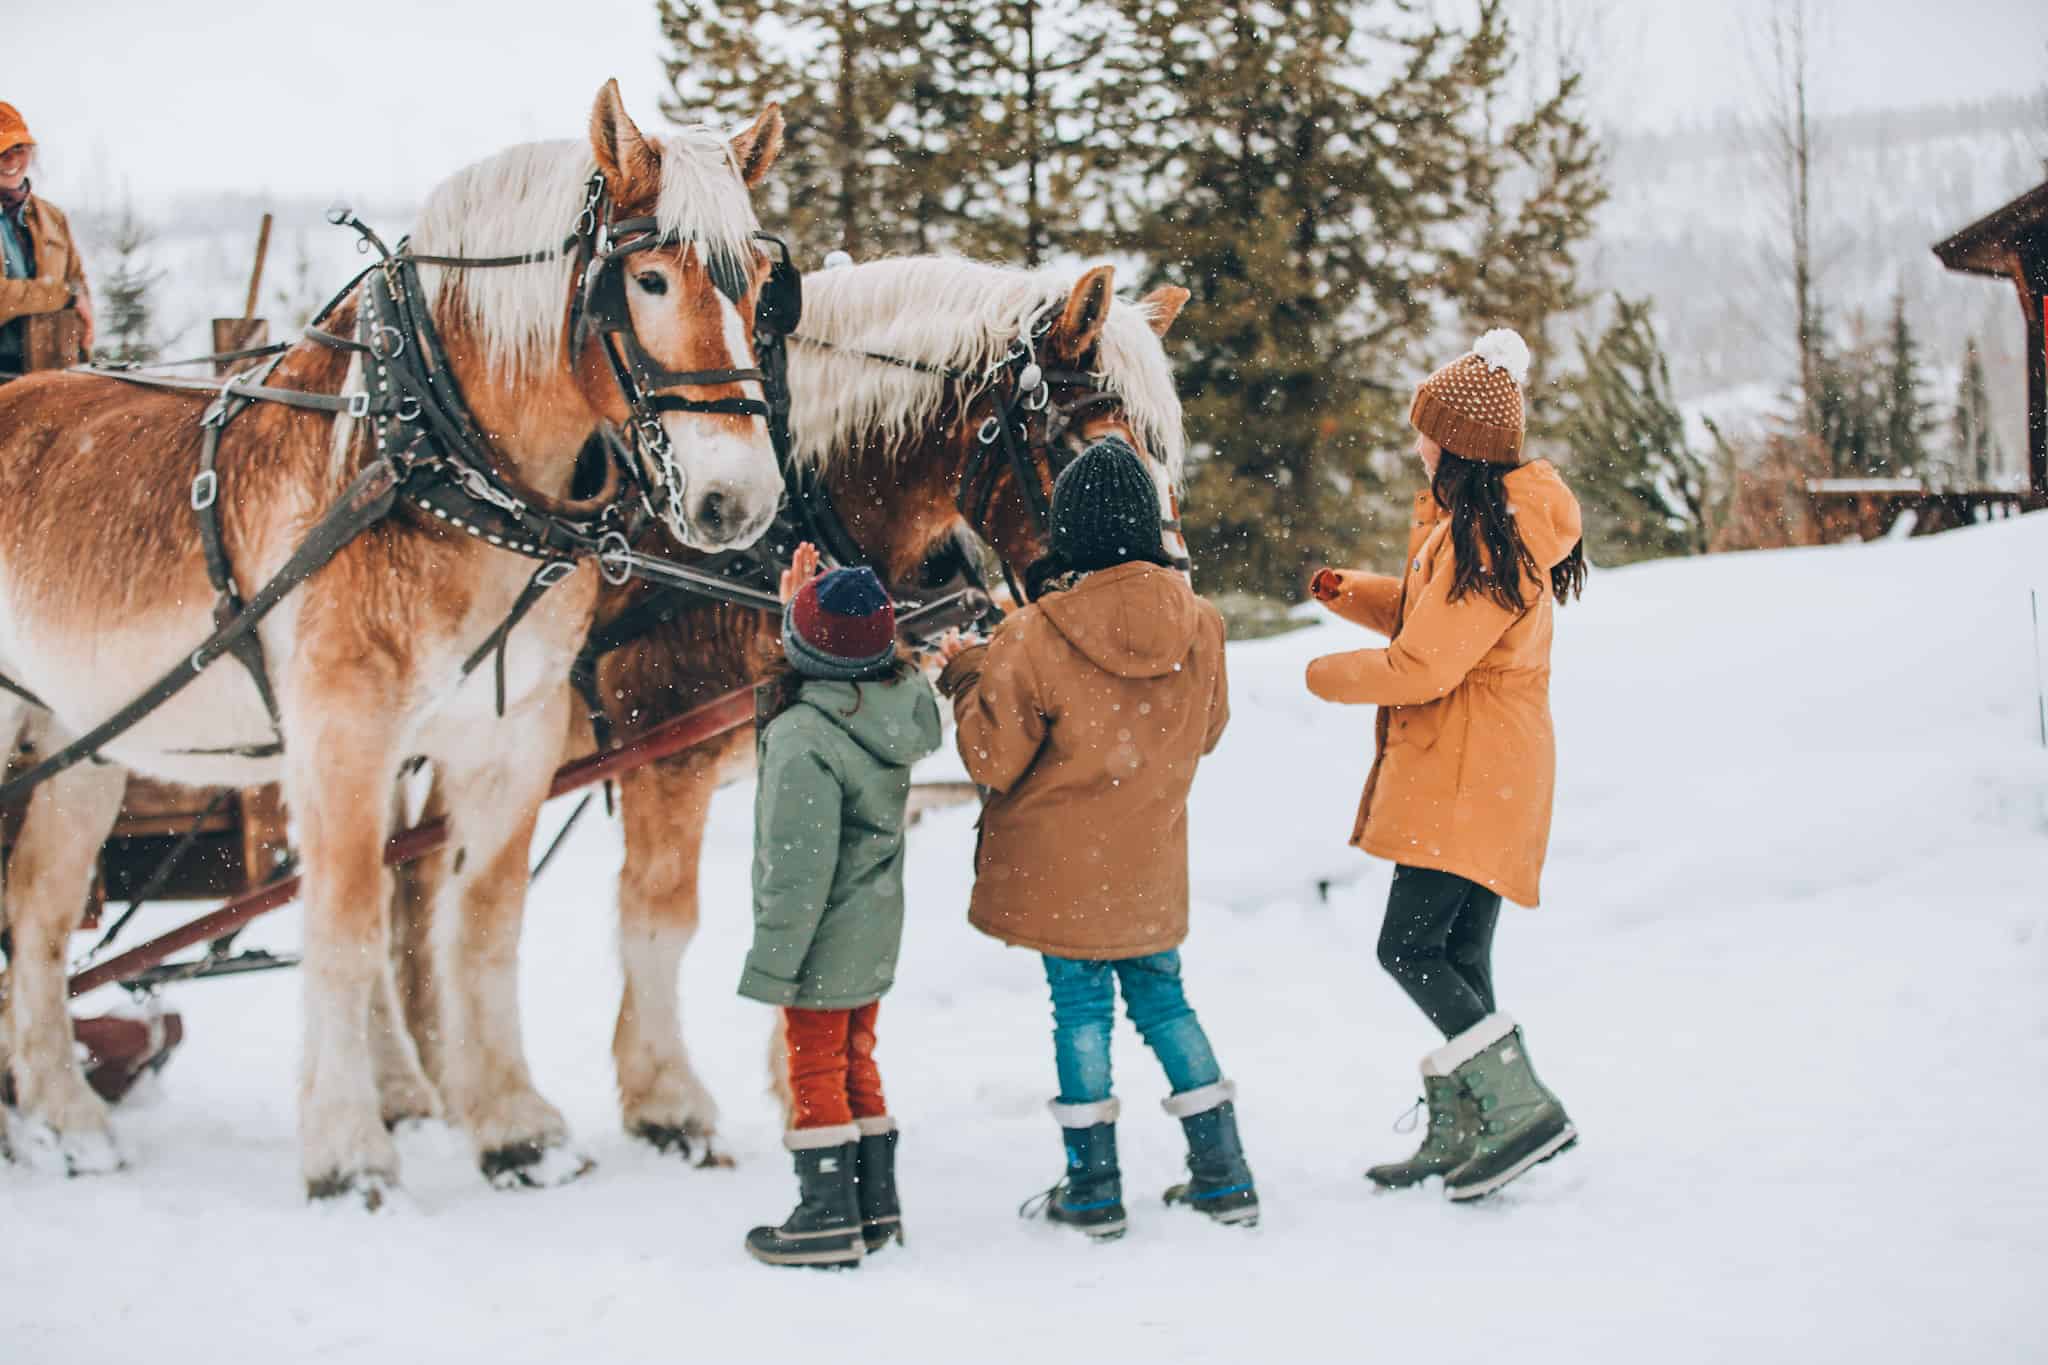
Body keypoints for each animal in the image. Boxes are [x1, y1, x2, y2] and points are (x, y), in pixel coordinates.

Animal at [0, 80, 782, 1203]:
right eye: (647, 277)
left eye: (761, 282)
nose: (740, 502)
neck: (429, 460)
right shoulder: (343, 733)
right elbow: (347, 922)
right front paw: (348, 1152)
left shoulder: (509, 737)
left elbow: (482, 917)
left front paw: (515, 1131)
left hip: (79, 742)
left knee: (39, 916)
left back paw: (66, 1122)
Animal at [385, 253, 1196, 1162]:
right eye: (1086, 445)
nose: (1171, 602)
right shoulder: (665, 752)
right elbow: (661, 913)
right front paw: (668, 1101)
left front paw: (805, 1090)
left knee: (411, 881)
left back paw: (439, 1079)